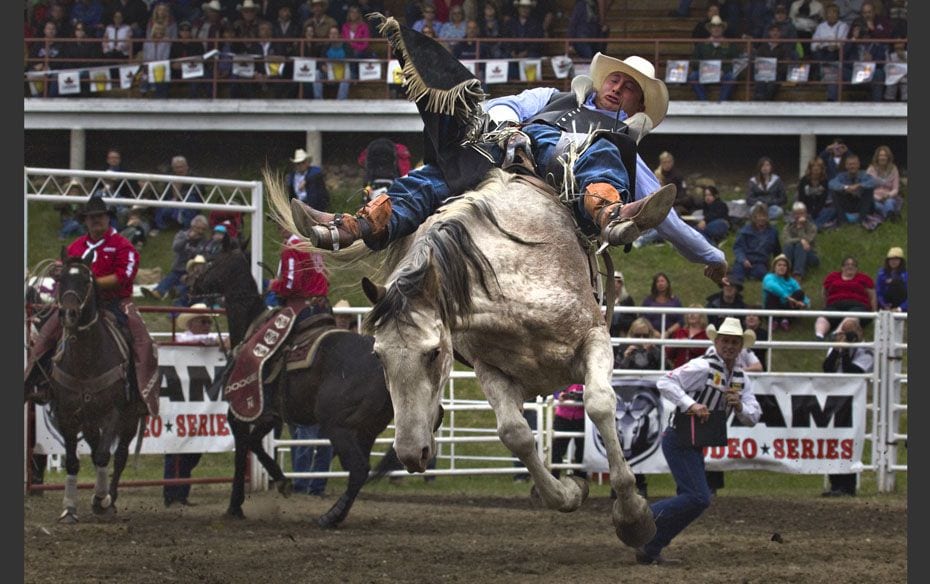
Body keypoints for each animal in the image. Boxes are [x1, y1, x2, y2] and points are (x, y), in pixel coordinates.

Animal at [44, 258, 146, 524]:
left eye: (84, 281)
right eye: (61, 280)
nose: (68, 314)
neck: (86, 362)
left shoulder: (114, 412)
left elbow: (103, 456)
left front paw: (101, 499)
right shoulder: (66, 414)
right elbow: (72, 462)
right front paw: (69, 509)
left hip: (130, 418)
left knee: (119, 455)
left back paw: (112, 498)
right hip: (89, 419)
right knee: (95, 445)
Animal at [188, 240, 398, 528]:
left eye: (211, 261)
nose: (191, 283)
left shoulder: (241, 411)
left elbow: (243, 446)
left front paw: (237, 504)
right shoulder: (270, 416)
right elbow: (254, 443)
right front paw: (280, 481)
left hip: (337, 425)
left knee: (357, 468)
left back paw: (330, 516)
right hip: (366, 430)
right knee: (360, 471)